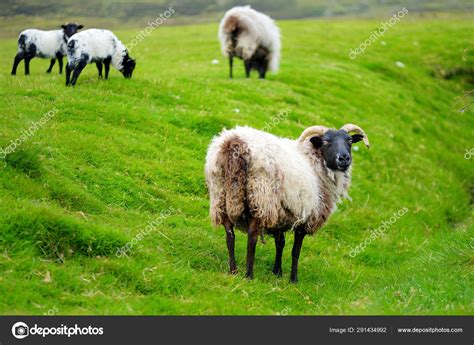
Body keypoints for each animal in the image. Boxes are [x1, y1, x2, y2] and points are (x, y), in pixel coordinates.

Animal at [205, 123, 370, 282]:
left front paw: (277, 272)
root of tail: (234, 143)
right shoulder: (305, 217)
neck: (314, 161)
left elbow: (280, 243)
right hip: (261, 199)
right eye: (326, 142)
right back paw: (248, 275)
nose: (344, 158)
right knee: (252, 238)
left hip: (220, 196)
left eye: (349, 141)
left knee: (229, 235)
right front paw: (293, 279)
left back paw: (233, 270)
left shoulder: (282, 213)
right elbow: (295, 251)